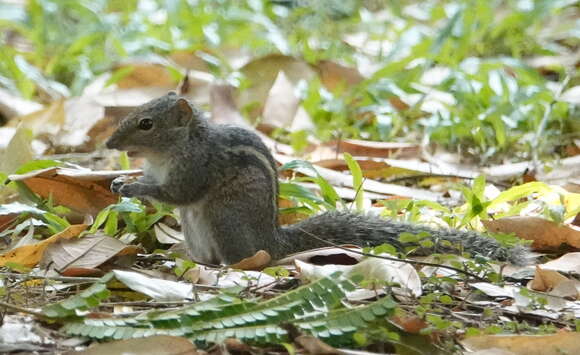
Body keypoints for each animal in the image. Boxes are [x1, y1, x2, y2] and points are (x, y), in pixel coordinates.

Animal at [106, 93, 532, 266]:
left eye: (146, 124)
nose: (110, 143)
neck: (171, 150)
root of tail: (273, 241)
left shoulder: (198, 166)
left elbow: (178, 192)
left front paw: (134, 187)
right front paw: (119, 181)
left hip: (225, 218)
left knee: (242, 257)